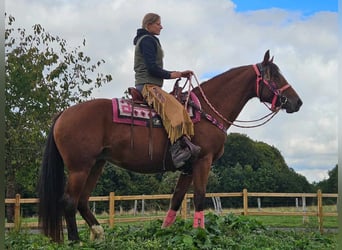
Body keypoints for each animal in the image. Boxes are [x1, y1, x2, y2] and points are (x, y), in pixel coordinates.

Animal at [38, 49, 304, 243]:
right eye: (275, 76)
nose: (297, 102)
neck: (205, 111)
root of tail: (63, 114)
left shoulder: (188, 167)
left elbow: (176, 200)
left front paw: (164, 233)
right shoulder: (203, 161)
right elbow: (199, 197)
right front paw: (200, 233)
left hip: (97, 164)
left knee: (82, 201)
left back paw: (100, 234)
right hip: (79, 168)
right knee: (69, 201)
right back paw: (75, 241)